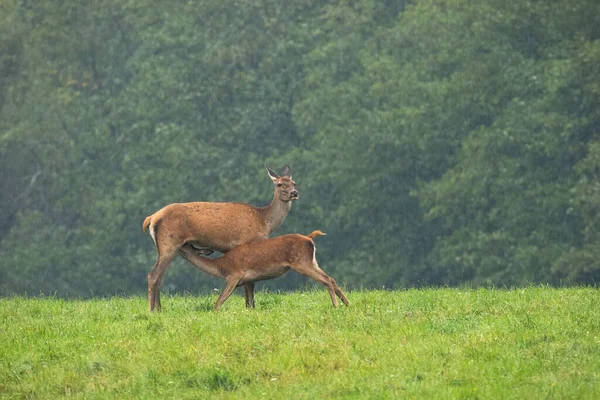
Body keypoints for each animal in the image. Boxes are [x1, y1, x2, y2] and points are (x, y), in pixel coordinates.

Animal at [144, 164, 298, 310]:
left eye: (294, 183)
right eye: (279, 184)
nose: (294, 193)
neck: (265, 222)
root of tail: (151, 218)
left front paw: (249, 307)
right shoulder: (249, 243)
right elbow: (250, 282)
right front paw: (250, 307)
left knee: (160, 277)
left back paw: (159, 308)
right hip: (169, 243)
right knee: (153, 275)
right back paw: (152, 310)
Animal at [176, 231, 350, 310]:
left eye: (186, 244)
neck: (220, 267)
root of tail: (309, 238)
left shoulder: (234, 275)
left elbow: (220, 300)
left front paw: (214, 312)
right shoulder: (247, 280)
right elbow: (249, 303)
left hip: (302, 263)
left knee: (326, 280)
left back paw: (336, 305)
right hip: (311, 261)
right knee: (331, 278)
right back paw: (347, 304)